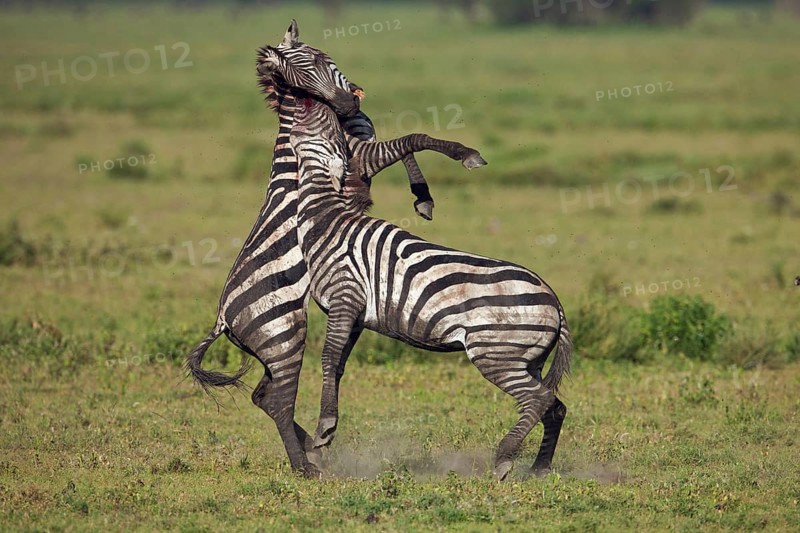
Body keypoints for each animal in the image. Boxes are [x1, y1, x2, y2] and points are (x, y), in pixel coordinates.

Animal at [186, 20, 475, 477]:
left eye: (318, 60)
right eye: (302, 76)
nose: (347, 100)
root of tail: (221, 318)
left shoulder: (364, 141)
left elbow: (407, 145)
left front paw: (423, 198)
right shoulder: (360, 156)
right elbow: (413, 138)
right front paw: (463, 158)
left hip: (269, 347)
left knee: (263, 396)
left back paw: (314, 452)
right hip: (284, 334)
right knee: (279, 400)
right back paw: (305, 466)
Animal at [258, 43, 573, 481]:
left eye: (308, 103)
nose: (350, 99)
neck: (326, 215)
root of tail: (554, 301)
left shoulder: (344, 298)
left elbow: (327, 358)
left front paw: (323, 433)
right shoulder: (355, 314)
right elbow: (336, 365)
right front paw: (323, 439)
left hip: (496, 353)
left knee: (539, 401)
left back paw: (504, 459)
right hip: (528, 359)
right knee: (554, 405)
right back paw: (539, 468)